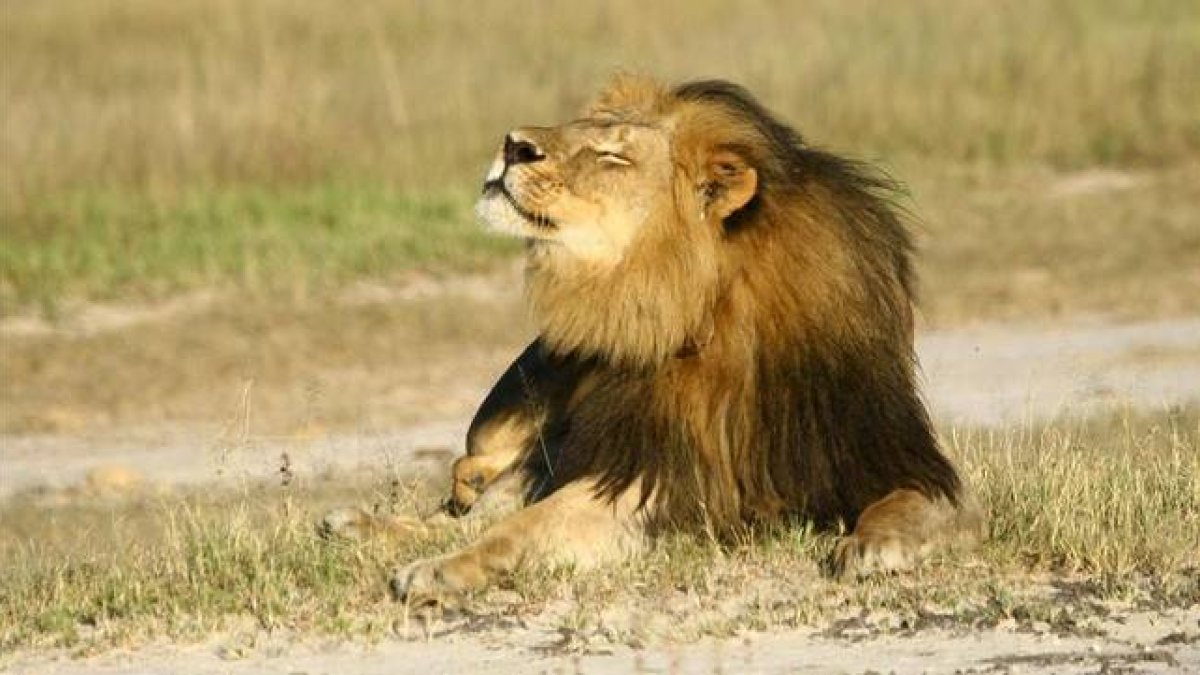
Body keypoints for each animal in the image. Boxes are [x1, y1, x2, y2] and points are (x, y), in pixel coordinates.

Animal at [326, 75, 982, 605]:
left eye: (613, 154)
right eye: (581, 129)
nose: (513, 145)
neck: (703, 308)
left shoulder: (890, 456)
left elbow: (916, 501)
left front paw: (875, 545)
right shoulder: (645, 473)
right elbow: (520, 527)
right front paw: (440, 570)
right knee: (471, 506)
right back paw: (358, 525)